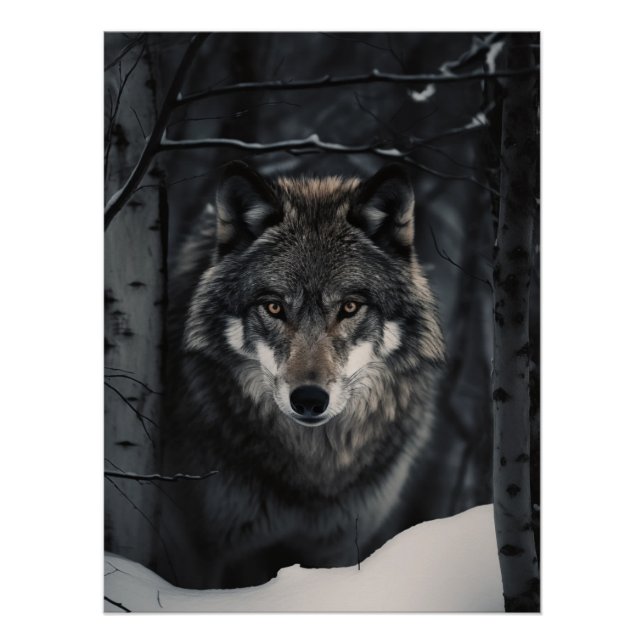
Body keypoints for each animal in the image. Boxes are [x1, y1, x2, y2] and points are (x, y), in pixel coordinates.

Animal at [159, 162, 446, 589]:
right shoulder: (201, 549)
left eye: (349, 307)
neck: (313, 472)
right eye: (274, 307)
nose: (309, 399)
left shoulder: (338, 546)